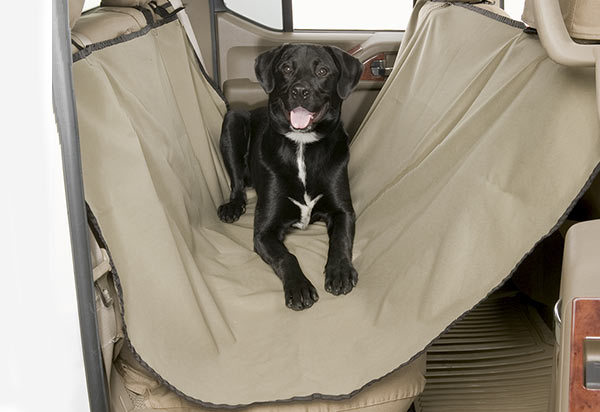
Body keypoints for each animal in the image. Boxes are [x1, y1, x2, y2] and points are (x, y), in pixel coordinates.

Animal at [219, 43, 364, 310]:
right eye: (286, 68)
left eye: (323, 70)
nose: (300, 91)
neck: (302, 144)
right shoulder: (264, 231)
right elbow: (287, 257)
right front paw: (298, 287)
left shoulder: (344, 211)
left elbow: (341, 239)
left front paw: (339, 272)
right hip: (233, 121)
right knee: (237, 182)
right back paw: (233, 206)